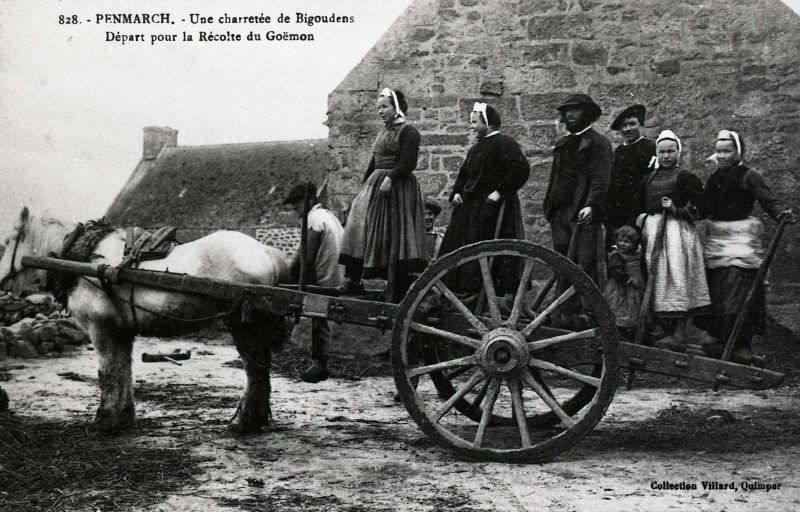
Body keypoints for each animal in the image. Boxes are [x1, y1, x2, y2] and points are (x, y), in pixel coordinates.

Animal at [0, 208, 292, 436]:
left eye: (7, 241)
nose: (1, 281)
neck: (87, 261)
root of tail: (266, 251)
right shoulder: (120, 330)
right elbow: (123, 370)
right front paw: (123, 417)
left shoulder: (100, 329)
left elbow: (107, 373)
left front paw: (103, 421)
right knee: (260, 371)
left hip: (245, 324)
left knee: (255, 372)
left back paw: (242, 424)